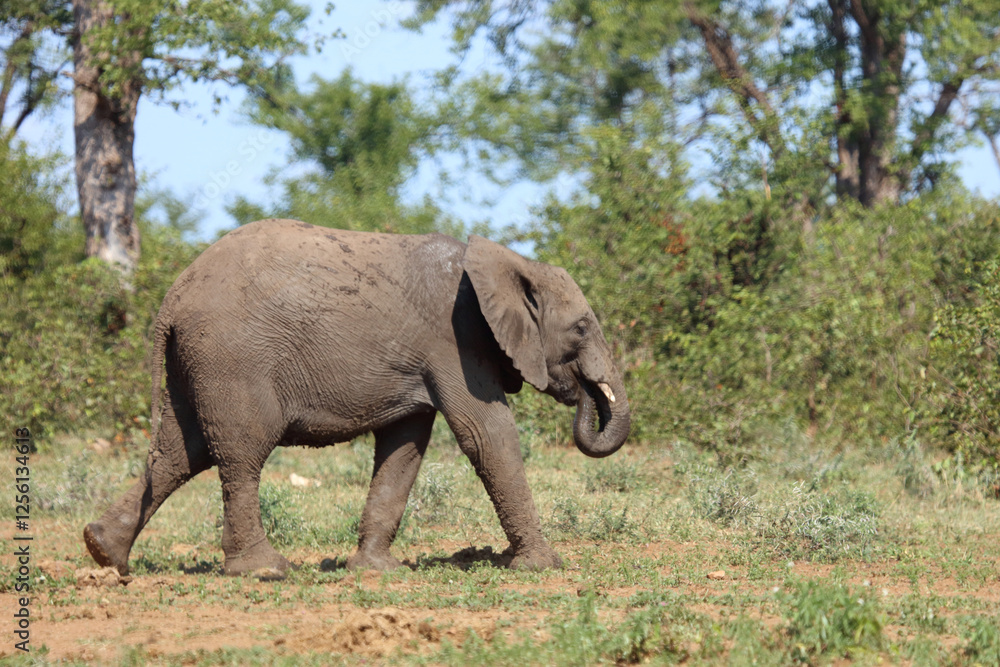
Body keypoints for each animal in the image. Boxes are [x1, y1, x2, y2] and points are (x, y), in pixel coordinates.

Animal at [83, 218, 630, 577]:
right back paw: (264, 571)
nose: (583, 392)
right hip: (231, 358)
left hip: (195, 361)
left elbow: (404, 447)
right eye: (581, 329)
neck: (508, 261)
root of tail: (172, 299)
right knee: (241, 453)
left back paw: (104, 552)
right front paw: (544, 566)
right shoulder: (454, 341)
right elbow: (486, 434)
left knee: (180, 452)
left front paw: (378, 570)